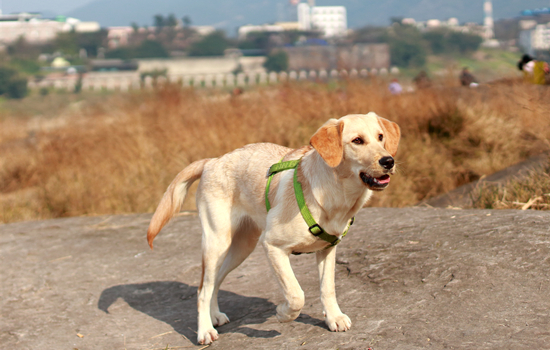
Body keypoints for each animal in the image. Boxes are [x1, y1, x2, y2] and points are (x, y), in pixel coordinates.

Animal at [148, 113, 402, 344]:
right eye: (357, 140)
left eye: (380, 137)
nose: (388, 161)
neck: (334, 194)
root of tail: (213, 161)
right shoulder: (273, 247)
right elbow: (296, 294)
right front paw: (283, 314)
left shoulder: (327, 250)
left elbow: (327, 287)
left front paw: (334, 318)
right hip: (217, 243)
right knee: (203, 289)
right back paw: (204, 331)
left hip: (242, 248)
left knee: (216, 282)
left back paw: (215, 316)